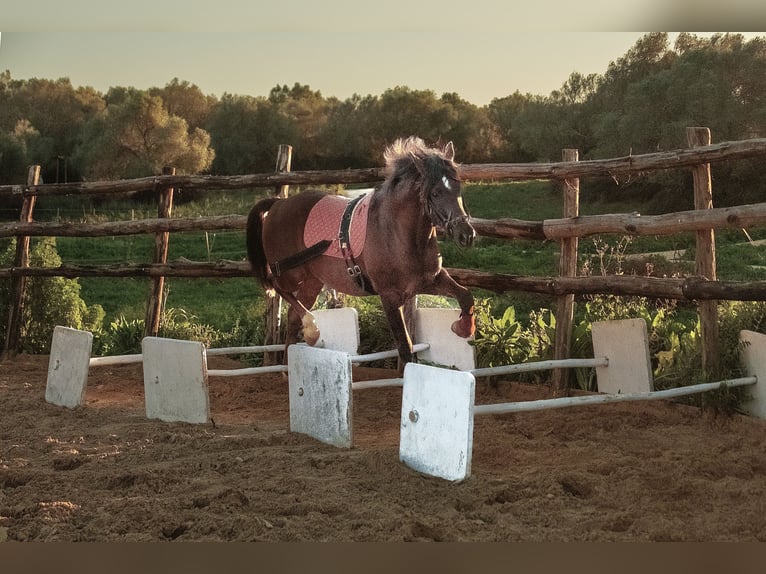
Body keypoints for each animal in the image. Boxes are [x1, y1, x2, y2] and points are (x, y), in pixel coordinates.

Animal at [246, 137, 476, 366]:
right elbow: (404, 347)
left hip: (313, 281)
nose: (466, 234)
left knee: (293, 317)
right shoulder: (389, 296)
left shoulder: (430, 280)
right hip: (290, 273)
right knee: (275, 287)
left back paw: (290, 363)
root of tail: (279, 204)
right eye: (435, 193)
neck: (397, 233)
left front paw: (463, 329)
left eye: (458, 188)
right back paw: (311, 328)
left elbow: (466, 297)